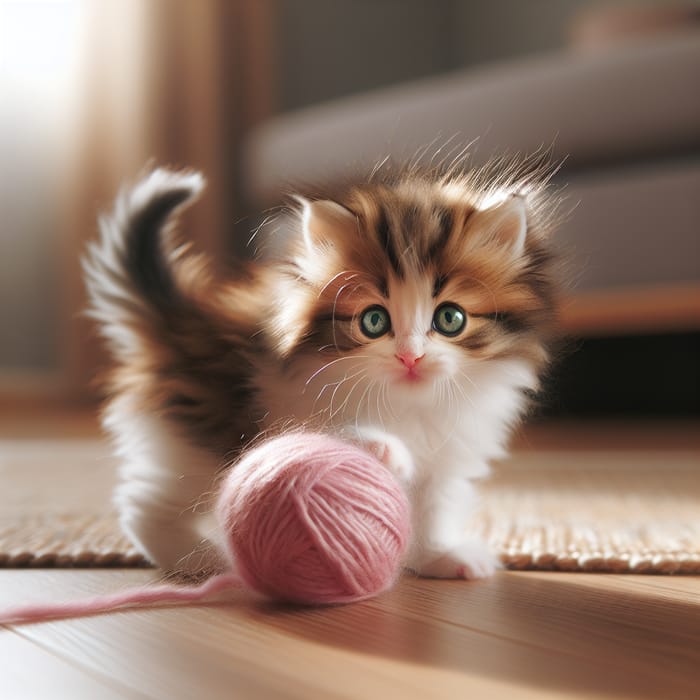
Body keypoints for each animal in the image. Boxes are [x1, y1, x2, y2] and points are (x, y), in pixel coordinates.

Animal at [83, 157, 564, 580]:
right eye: (374, 321)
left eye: (450, 318)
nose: (410, 356)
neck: (408, 404)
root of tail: (184, 320)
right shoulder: (290, 402)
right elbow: (328, 435)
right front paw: (382, 449)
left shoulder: (448, 455)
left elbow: (432, 508)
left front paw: (439, 557)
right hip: (205, 441)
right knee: (145, 508)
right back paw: (203, 559)